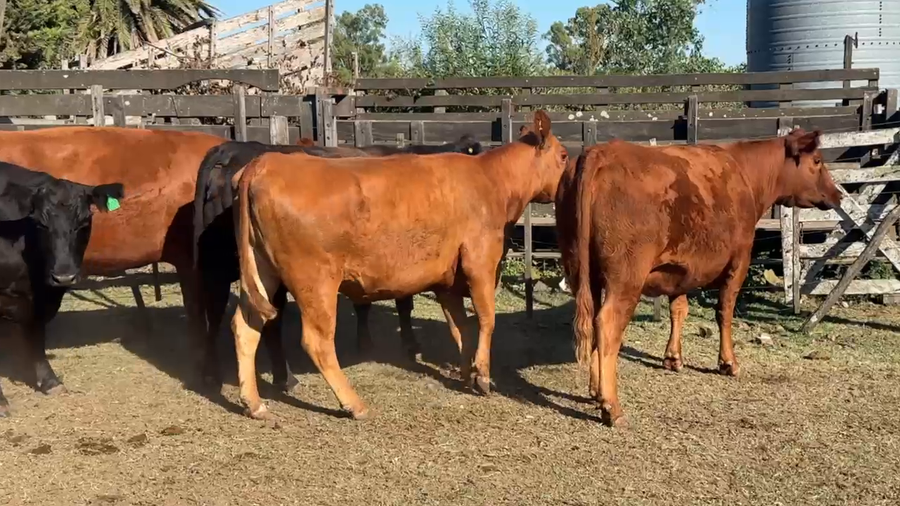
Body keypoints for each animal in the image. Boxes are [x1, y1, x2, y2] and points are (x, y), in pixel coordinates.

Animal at [0, 162, 124, 417]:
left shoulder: (43, 296)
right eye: (40, 223)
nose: (64, 276)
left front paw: (50, 382)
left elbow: (37, 336)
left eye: (84, 222)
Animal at [193, 134, 484, 393]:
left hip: (219, 267)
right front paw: (408, 345)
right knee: (269, 321)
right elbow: (402, 302)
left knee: (216, 315)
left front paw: (366, 341)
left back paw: (211, 374)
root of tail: (231, 149)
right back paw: (284, 378)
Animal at [227, 110, 566, 420]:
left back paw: (254, 403)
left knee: (246, 326)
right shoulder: (480, 264)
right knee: (317, 341)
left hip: (263, 272)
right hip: (315, 281)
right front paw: (482, 376)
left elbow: (461, 327)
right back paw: (354, 404)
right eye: (563, 156)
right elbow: (485, 319)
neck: (491, 180)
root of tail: (264, 164)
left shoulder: (447, 279)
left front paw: (466, 373)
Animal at [556, 129, 842, 427]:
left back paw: (596, 390)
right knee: (608, 324)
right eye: (818, 160)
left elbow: (679, 309)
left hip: (582, 269)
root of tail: (600, 152)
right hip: (626, 277)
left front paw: (673, 357)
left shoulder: (681, 268)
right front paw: (728, 362)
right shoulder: (739, 260)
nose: (839, 195)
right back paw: (612, 407)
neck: (745, 173)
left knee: (592, 319)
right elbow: (724, 311)